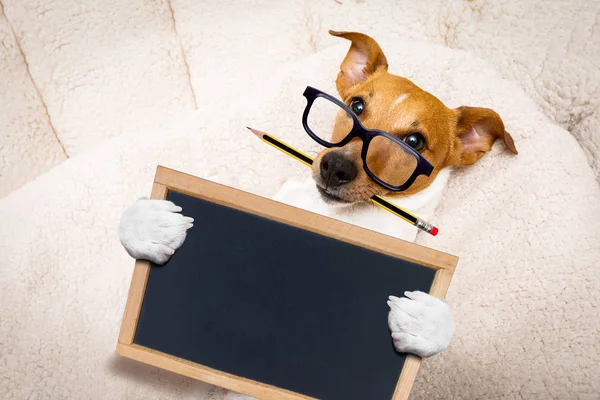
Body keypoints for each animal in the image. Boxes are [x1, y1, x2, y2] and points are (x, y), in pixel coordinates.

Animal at [117, 30, 516, 394]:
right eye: (357, 106)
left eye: (415, 142)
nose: (335, 167)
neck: (334, 216)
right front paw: (149, 224)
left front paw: (428, 322)